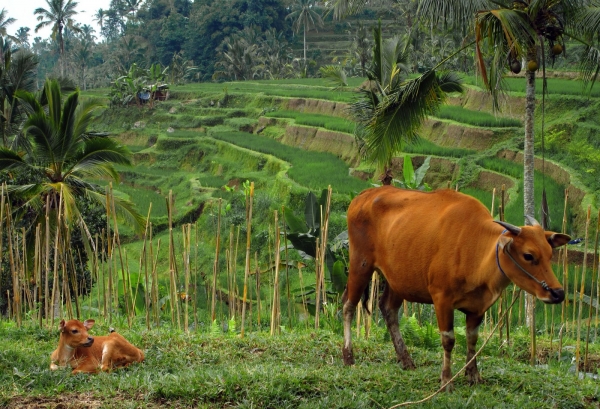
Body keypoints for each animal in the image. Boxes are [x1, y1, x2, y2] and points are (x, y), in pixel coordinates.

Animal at [342, 186, 568, 388]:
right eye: (528, 255)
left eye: (550, 254)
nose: (558, 293)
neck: (474, 249)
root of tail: (362, 196)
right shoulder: (441, 299)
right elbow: (448, 340)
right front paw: (446, 380)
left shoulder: (478, 307)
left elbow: (472, 339)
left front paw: (473, 375)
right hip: (360, 264)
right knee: (348, 306)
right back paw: (348, 357)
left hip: (397, 279)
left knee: (388, 309)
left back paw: (406, 360)